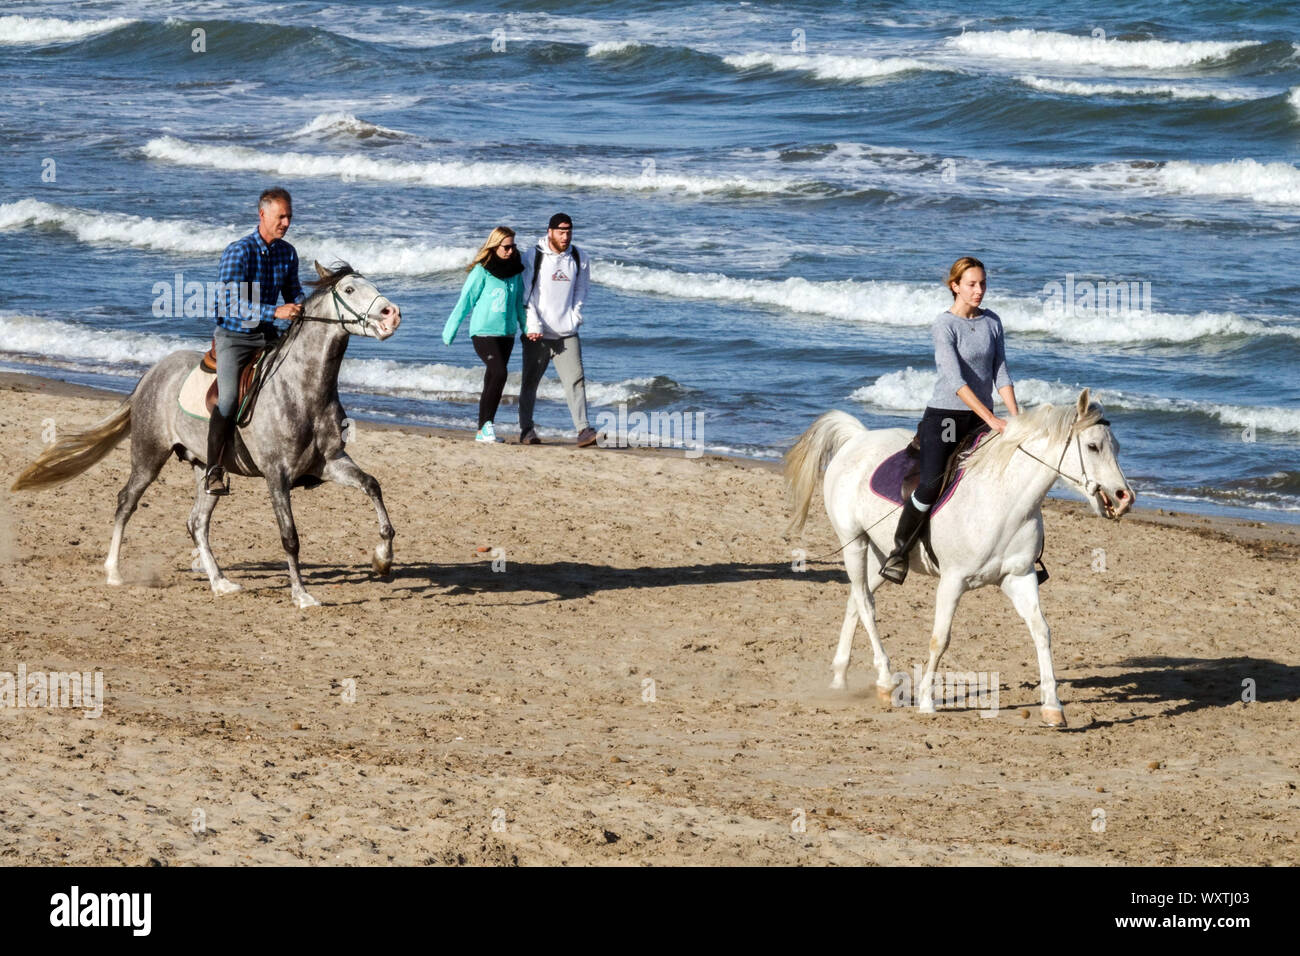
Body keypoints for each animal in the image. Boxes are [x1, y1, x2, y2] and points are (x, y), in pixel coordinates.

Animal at [11, 264, 400, 606]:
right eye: (348, 290)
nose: (391, 314)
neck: (303, 389)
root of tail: (153, 373)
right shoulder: (277, 475)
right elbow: (290, 537)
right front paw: (302, 596)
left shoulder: (330, 463)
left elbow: (373, 485)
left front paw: (382, 558)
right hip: (149, 456)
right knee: (126, 503)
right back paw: (114, 572)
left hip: (207, 468)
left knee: (197, 522)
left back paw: (220, 583)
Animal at [785, 390, 1133, 723]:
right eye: (1092, 447)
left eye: (1116, 447)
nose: (1124, 498)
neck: (1003, 500)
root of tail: (857, 439)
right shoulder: (952, 581)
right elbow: (940, 639)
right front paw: (927, 702)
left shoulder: (1018, 576)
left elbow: (1041, 631)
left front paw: (1052, 707)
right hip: (853, 543)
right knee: (866, 604)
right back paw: (884, 680)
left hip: (881, 554)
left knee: (856, 600)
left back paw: (841, 676)